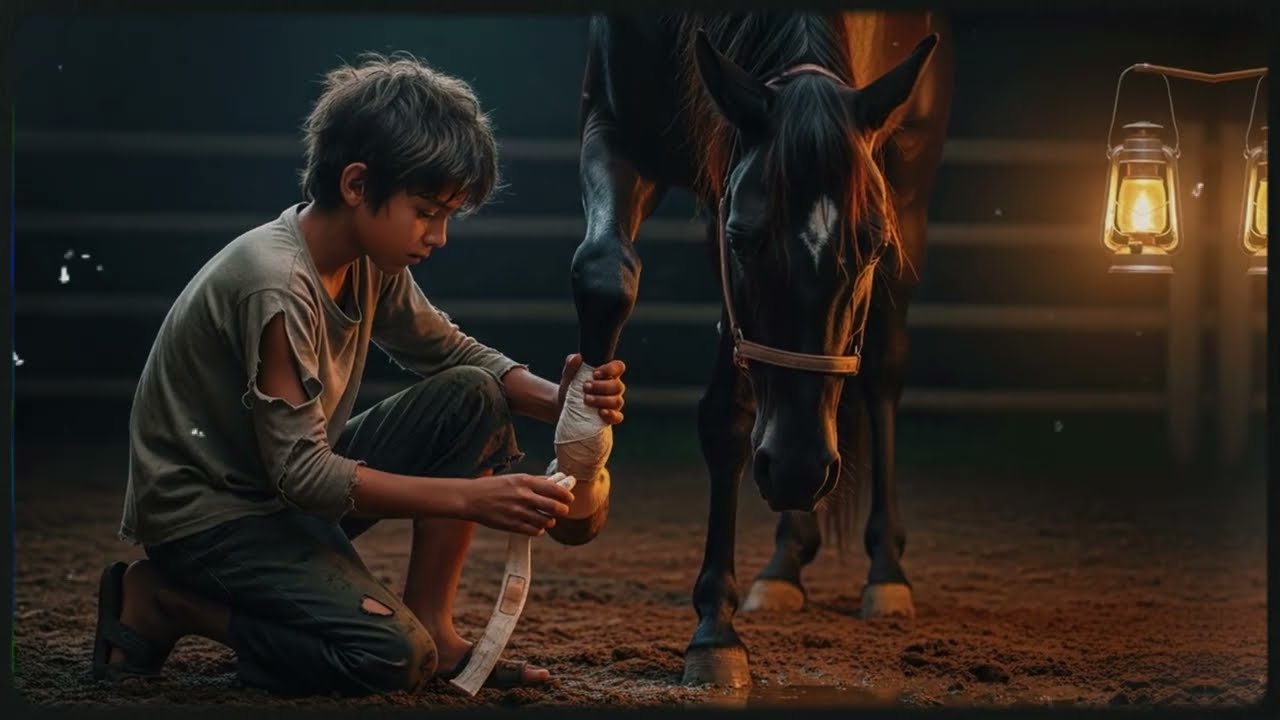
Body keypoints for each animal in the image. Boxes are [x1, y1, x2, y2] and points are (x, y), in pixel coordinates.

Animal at [566, 12, 954, 686]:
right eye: (743, 240)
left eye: (873, 247)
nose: (799, 467)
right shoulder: (617, 132)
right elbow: (603, 273)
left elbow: (731, 413)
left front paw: (714, 628)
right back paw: (783, 565)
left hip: (908, 183)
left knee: (881, 372)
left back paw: (885, 572)